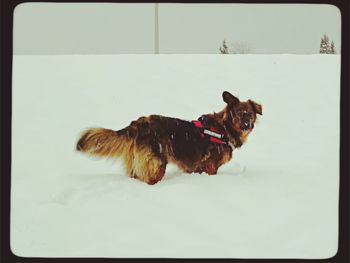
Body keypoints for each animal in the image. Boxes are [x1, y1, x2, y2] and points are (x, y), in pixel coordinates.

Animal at [77, 92, 262, 186]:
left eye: (250, 114)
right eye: (239, 114)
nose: (248, 125)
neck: (223, 128)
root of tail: (137, 124)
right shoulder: (210, 166)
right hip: (157, 163)